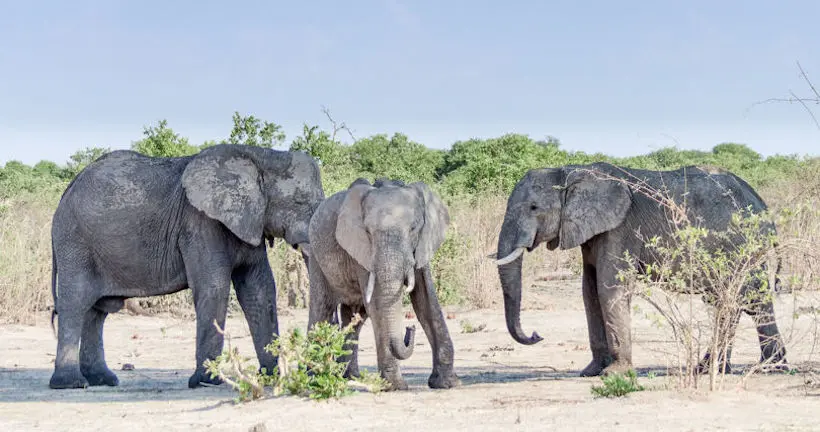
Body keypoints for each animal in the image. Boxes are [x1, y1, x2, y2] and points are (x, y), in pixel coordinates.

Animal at [47, 146, 324, 392]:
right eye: (299, 201)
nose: (306, 372)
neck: (262, 156)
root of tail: (67, 189)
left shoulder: (249, 223)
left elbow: (259, 289)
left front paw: (271, 376)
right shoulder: (200, 223)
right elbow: (215, 288)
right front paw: (206, 381)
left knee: (97, 311)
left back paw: (102, 380)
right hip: (75, 242)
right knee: (76, 304)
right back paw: (70, 383)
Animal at [308, 177, 462, 390]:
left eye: (413, 229)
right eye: (368, 232)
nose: (410, 328)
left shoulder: (422, 246)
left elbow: (426, 301)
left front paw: (446, 383)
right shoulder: (363, 251)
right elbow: (378, 305)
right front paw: (395, 386)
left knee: (354, 316)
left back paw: (348, 377)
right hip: (315, 257)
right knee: (321, 308)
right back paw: (312, 378)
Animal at [494, 162, 788, 374]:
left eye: (534, 207)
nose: (536, 335)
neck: (570, 171)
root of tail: (762, 204)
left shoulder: (620, 228)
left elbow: (609, 288)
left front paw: (614, 373)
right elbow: (589, 292)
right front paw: (591, 371)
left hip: (745, 245)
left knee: (749, 299)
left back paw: (767, 368)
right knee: (733, 302)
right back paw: (714, 369)